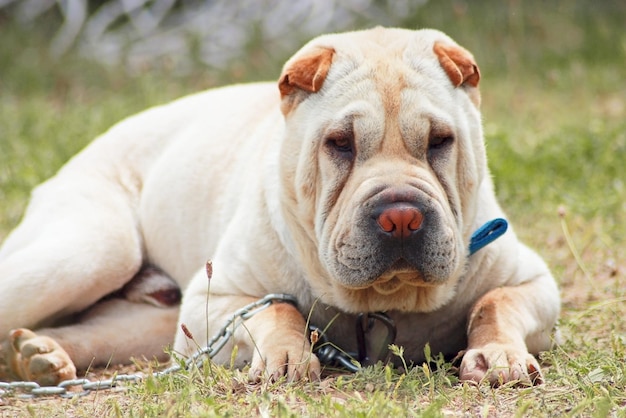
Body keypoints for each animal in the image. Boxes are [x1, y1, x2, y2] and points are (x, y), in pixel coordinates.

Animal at [0, 27, 556, 386]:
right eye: (340, 144)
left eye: (440, 141)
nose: (401, 216)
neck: (381, 304)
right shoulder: (215, 301)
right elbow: (278, 308)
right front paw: (287, 356)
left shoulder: (534, 285)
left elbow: (494, 303)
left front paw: (499, 356)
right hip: (95, 248)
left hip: (146, 318)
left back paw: (43, 356)